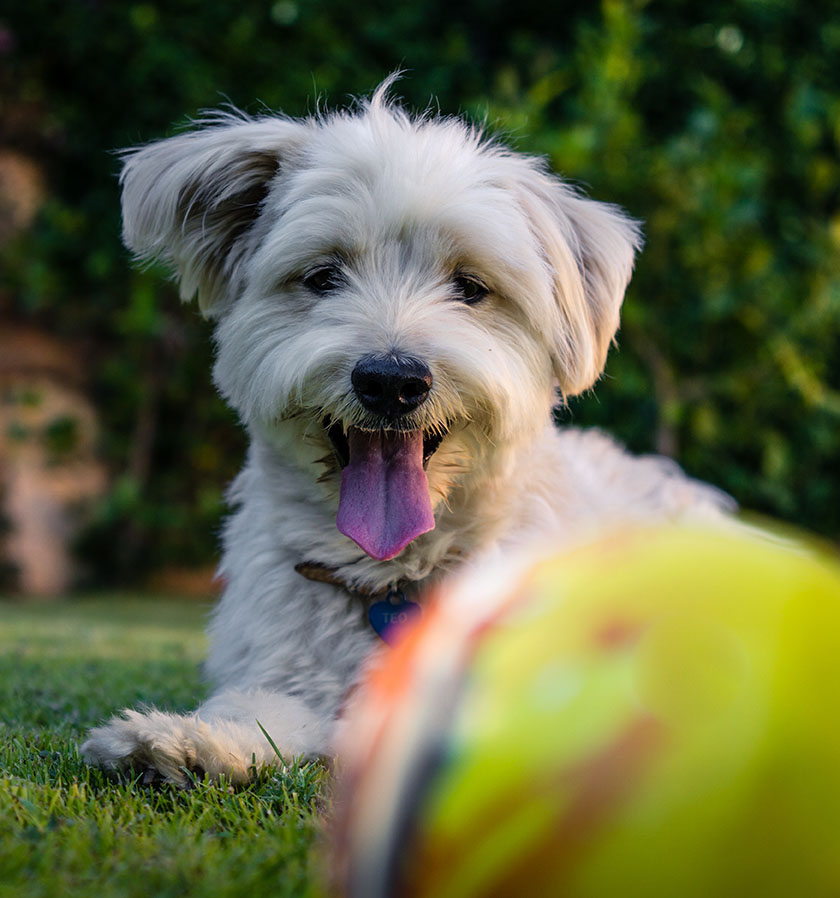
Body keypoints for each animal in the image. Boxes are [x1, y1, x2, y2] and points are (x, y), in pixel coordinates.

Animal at [82, 84, 732, 784]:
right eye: (323, 277)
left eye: (470, 287)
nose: (391, 380)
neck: (391, 574)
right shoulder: (288, 665)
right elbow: (265, 710)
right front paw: (186, 742)